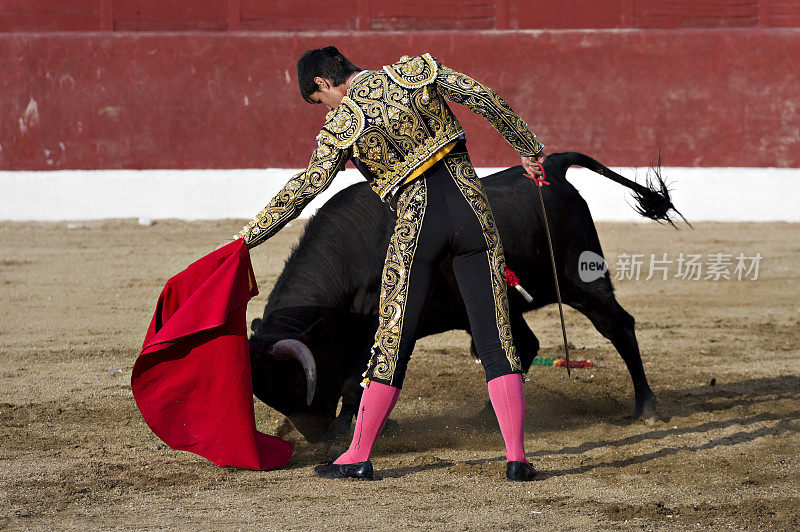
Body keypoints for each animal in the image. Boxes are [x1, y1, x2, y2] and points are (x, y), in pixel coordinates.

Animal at [248, 152, 680, 442]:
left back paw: (646, 409)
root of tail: (552, 169)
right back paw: (487, 416)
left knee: (618, 326)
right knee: (523, 345)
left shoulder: (380, 329)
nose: (313, 436)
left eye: (294, 385)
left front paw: (344, 432)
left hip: (584, 281)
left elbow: (356, 381)